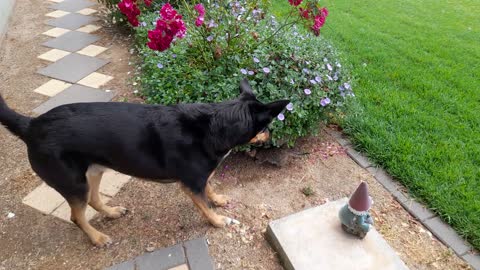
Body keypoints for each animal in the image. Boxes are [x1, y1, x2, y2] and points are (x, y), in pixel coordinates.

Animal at [0, 78, 288, 247]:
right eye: (267, 126)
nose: (272, 136)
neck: (214, 125)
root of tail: (31, 125)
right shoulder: (191, 184)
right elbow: (205, 206)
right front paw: (218, 221)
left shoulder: (199, 178)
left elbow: (209, 185)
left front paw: (217, 199)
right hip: (73, 182)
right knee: (76, 216)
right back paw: (97, 238)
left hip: (94, 171)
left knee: (93, 200)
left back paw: (111, 212)